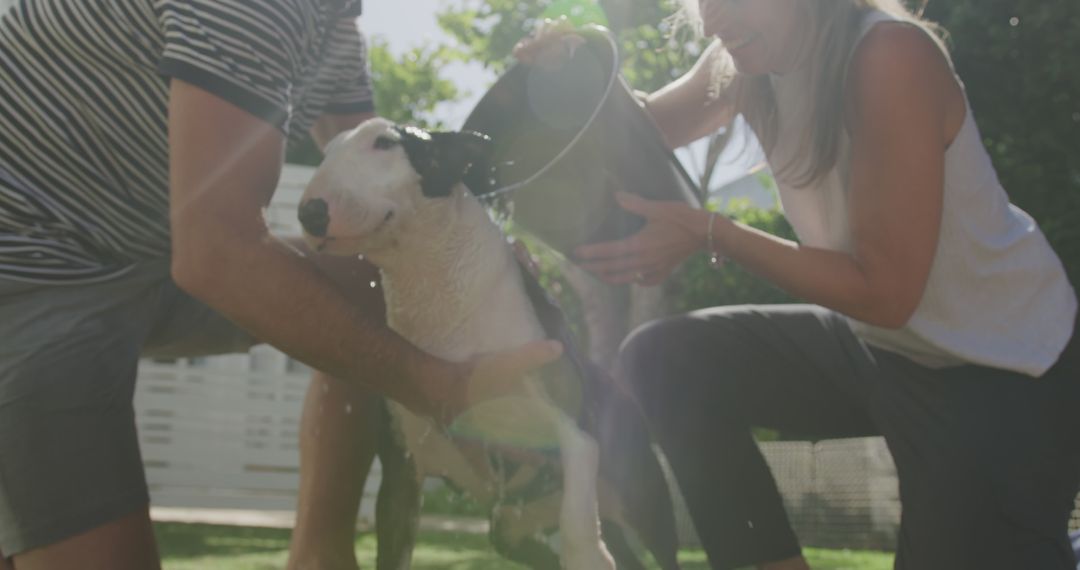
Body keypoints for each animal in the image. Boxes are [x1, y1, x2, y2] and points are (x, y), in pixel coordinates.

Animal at [298, 117, 673, 570]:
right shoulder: (402, 474)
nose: (310, 213)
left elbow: (578, 510)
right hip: (512, 529)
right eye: (328, 151)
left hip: (645, 505)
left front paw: (587, 554)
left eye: (385, 143)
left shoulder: (571, 429)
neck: (441, 297)